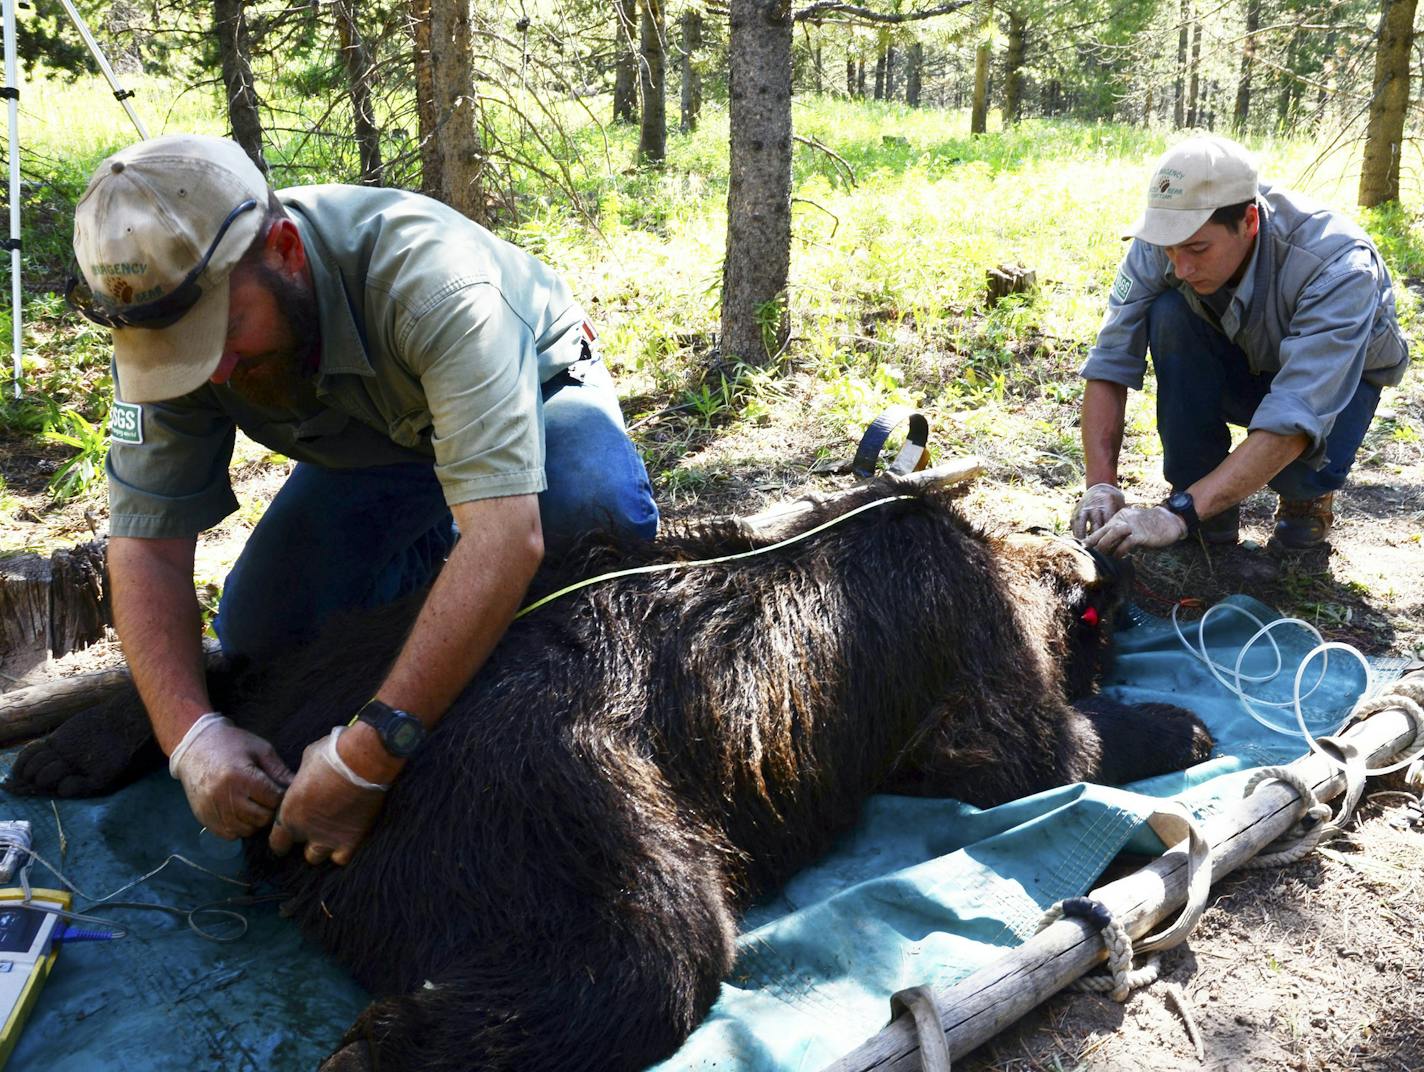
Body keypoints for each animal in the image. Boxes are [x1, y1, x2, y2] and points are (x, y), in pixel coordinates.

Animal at [8, 481, 1213, 1070]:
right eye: (1107, 621)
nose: (1134, 603)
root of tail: (285, 810)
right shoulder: (970, 658)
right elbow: (1039, 748)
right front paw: (1178, 723)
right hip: (543, 805)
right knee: (640, 955)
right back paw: (376, 1047)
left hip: (349, 667)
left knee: (239, 670)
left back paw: (76, 745)